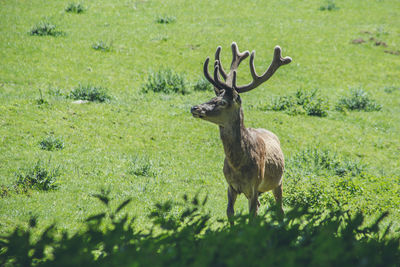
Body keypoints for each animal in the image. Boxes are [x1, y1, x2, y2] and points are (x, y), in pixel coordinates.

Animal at [191, 42, 290, 226]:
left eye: (223, 102)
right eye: (212, 97)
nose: (195, 108)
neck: (238, 165)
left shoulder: (254, 185)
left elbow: (252, 216)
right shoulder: (230, 185)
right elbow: (230, 212)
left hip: (278, 181)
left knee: (280, 209)